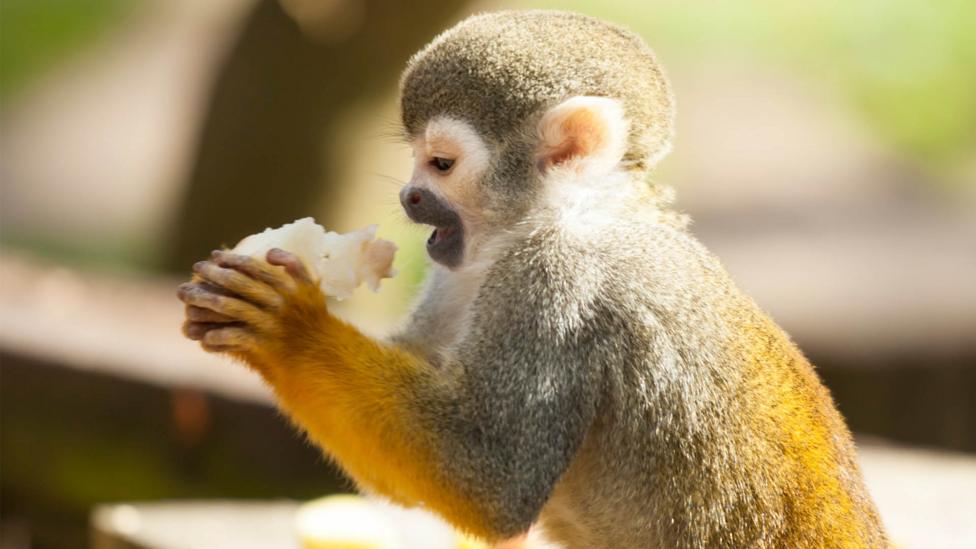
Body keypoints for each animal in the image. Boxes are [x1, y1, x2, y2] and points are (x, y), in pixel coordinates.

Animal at [177, 10, 889, 548]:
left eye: (441, 163)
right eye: (417, 165)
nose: (410, 196)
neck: (554, 215)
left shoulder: (557, 288)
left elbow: (493, 484)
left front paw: (288, 329)